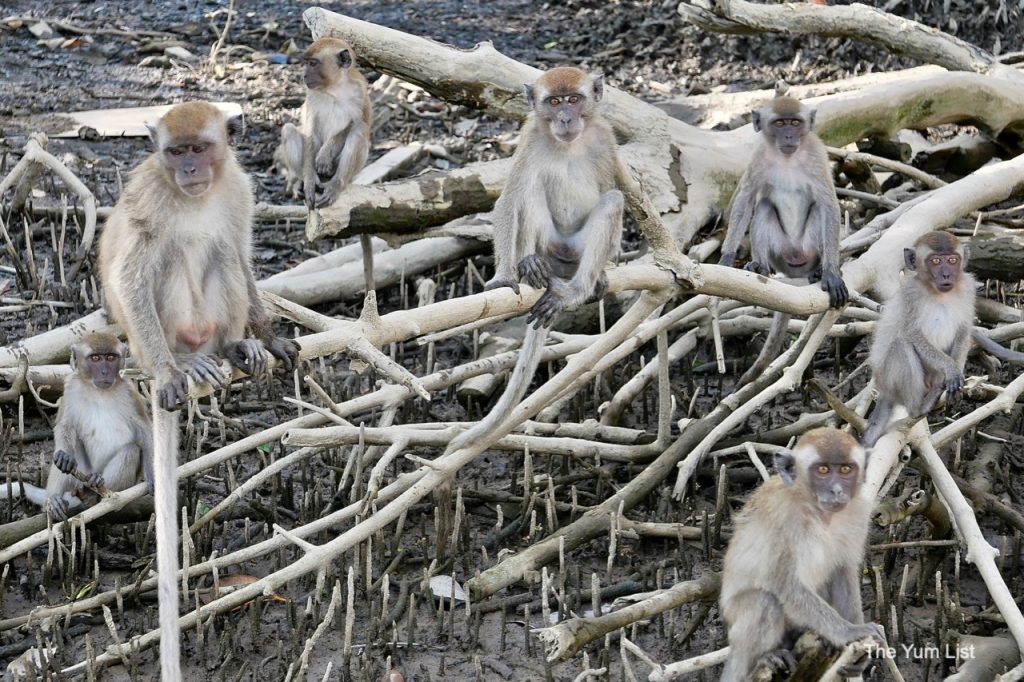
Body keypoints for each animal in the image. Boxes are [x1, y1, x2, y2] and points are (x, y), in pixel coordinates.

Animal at [450, 67, 622, 450]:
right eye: (554, 102)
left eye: (573, 99)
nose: (566, 118)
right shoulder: (529, 139)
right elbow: (509, 199)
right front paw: (504, 275)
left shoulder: (606, 139)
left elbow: (613, 191)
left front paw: (605, 271)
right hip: (550, 244)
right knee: (527, 190)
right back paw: (530, 267)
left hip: (577, 251)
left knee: (611, 201)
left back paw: (578, 288)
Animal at [716, 93, 851, 385]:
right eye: (779, 123)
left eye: (795, 122)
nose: (789, 136)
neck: (788, 158)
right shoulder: (757, 158)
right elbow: (745, 199)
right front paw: (727, 257)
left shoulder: (817, 155)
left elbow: (829, 205)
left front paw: (831, 272)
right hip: (781, 253)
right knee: (764, 206)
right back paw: (759, 266)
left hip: (808, 249)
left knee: (818, 210)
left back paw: (818, 271)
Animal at [720, 428, 880, 675]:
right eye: (823, 470)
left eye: (846, 469)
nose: (836, 490)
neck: (819, 513)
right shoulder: (783, 518)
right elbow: (786, 584)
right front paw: (847, 632)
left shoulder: (858, 513)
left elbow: (843, 571)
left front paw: (856, 638)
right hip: (736, 624)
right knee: (764, 600)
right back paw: (765, 657)